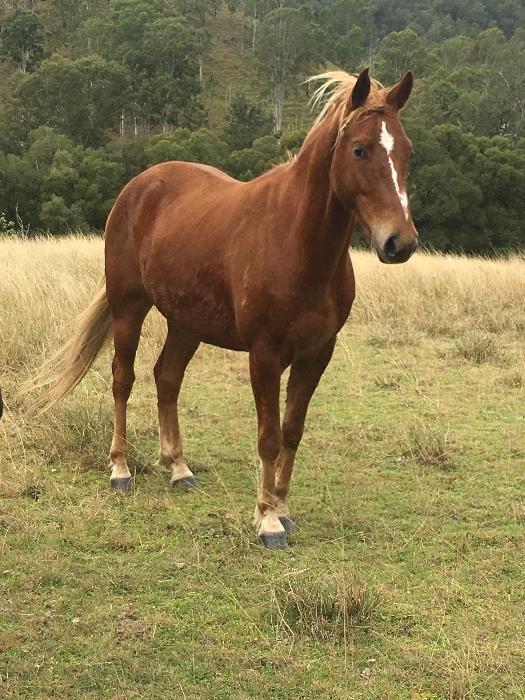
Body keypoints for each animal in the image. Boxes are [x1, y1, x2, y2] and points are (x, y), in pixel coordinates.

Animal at [35, 68, 418, 549]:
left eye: (407, 151)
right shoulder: (265, 354)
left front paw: (282, 508)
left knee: (167, 378)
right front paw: (268, 520)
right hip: (129, 308)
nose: (400, 243)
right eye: (360, 149)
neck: (298, 242)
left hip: (186, 323)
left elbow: (292, 431)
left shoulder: (317, 353)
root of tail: (139, 185)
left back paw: (178, 468)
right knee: (123, 379)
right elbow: (269, 437)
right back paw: (120, 469)